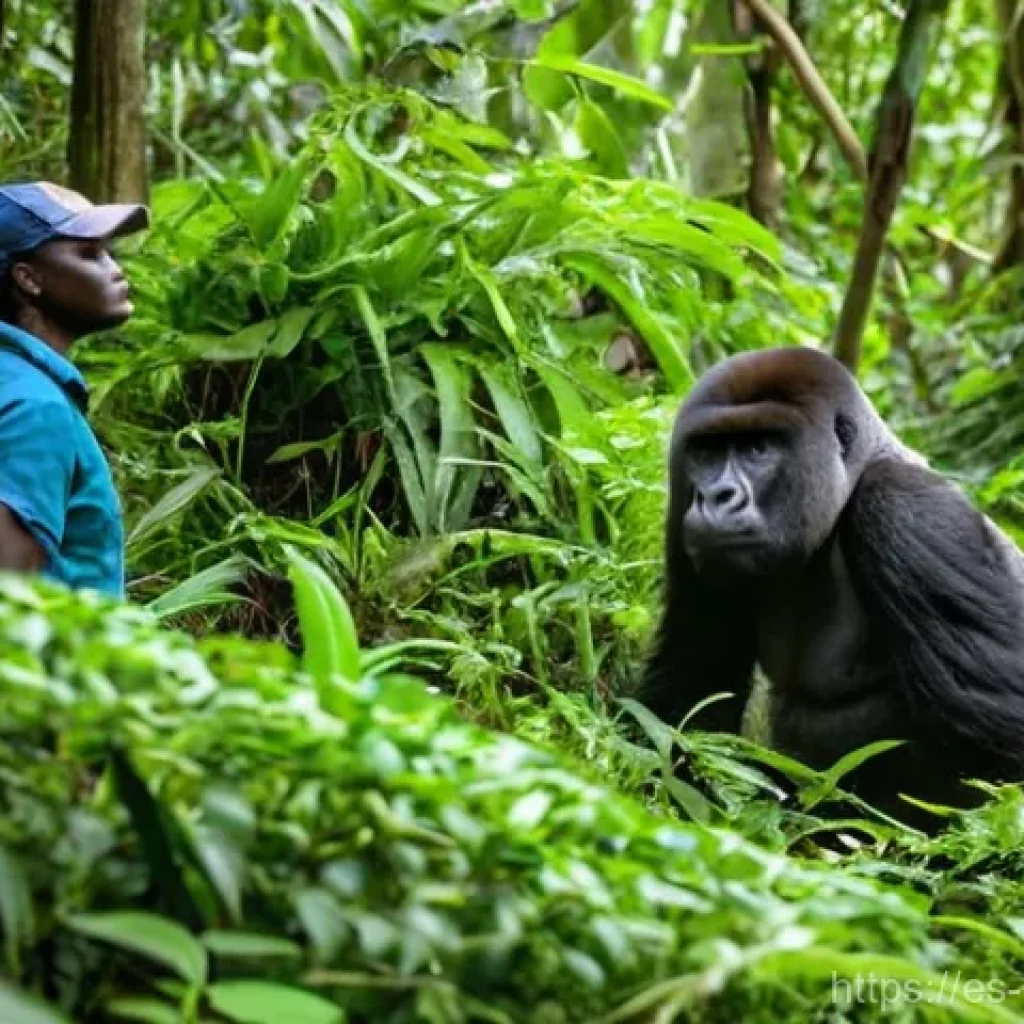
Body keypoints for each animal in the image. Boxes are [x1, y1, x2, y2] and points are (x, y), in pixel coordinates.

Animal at [640, 345, 1024, 824]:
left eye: (757, 448)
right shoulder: (680, 510)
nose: (716, 497)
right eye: (706, 453)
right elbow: (692, 686)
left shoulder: (905, 506)